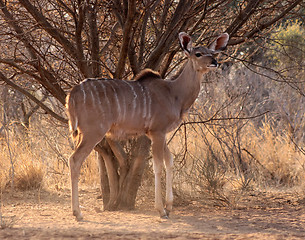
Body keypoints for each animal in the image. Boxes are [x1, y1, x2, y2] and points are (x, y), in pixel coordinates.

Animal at [66, 31, 228, 221]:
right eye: (198, 53)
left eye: (213, 52)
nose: (214, 62)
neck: (174, 94)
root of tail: (73, 92)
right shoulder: (157, 132)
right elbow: (158, 165)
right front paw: (161, 210)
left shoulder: (158, 133)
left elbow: (169, 160)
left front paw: (169, 207)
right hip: (94, 132)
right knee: (75, 159)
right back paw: (78, 213)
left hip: (82, 133)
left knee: (73, 159)